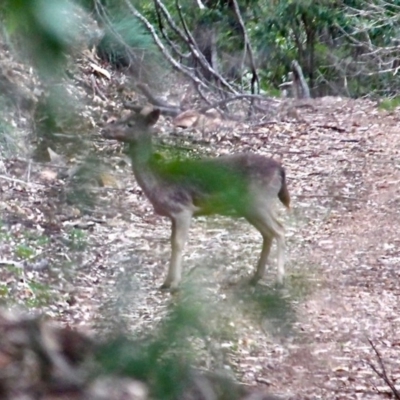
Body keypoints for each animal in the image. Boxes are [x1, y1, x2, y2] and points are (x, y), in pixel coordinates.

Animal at [102, 109, 290, 290]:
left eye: (130, 123)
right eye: (120, 117)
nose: (105, 130)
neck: (159, 182)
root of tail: (280, 170)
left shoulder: (183, 209)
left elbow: (178, 243)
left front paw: (175, 285)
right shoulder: (173, 215)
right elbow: (172, 243)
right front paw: (166, 283)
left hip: (259, 201)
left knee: (279, 229)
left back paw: (279, 280)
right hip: (249, 207)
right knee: (268, 233)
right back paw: (256, 277)